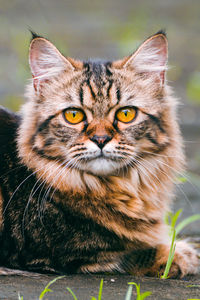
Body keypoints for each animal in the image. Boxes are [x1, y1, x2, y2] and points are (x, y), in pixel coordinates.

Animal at [0, 30, 198, 276]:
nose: (101, 139)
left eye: (126, 114)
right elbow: (137, 252)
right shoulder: (72, 254)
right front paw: (182, 254)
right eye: (73, 115)